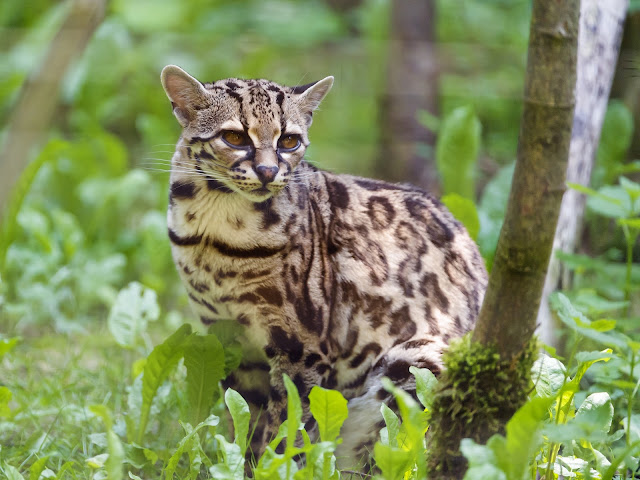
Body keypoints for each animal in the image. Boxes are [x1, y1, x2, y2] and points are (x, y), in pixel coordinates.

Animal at [161, 65, 490, 470]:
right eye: (234, 136)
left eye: (289, 141)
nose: (268, 171)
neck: (218, 232)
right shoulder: (229, 339)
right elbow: (247, 418)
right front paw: (246, 463)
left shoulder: (304, 347)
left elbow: (290, 421)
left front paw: (278, 468)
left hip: (420, 358)